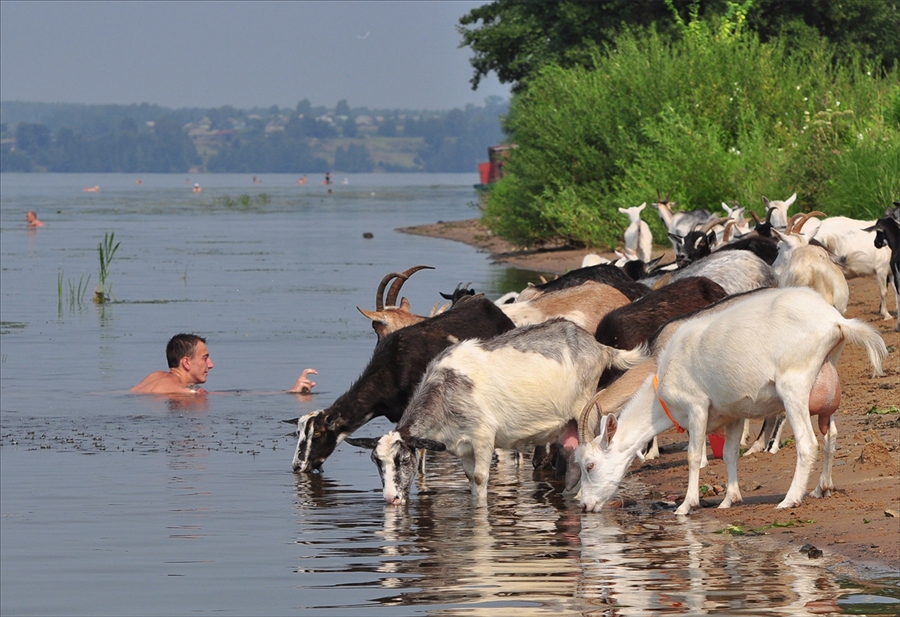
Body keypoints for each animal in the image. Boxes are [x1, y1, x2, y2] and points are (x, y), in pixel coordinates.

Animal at [344, 318, 648, 506]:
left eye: (404, 459)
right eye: (376, 462)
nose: (391, 498)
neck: (446, 390)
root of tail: (598, 346)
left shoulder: (482, 436)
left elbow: (480, 479)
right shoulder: (462, 446)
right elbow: (470, 479)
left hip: (587, 408)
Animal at [576, 288, 884, 516]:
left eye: (589, 465)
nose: (584, 505)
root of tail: (835, 321)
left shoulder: (696, 406)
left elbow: (693, 455)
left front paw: (686, 506)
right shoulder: (733, 413)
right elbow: (729, 454)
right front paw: (729, 500)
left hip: (794, 386)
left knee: (807, 443)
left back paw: (790, 499)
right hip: (827, 377)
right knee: (831, 435)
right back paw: (822, 488)